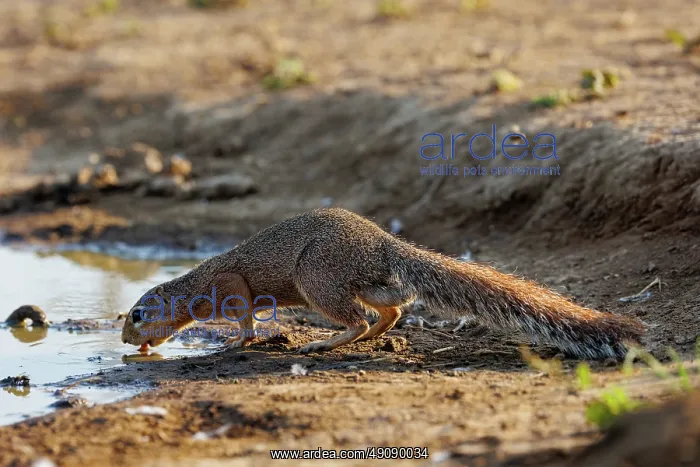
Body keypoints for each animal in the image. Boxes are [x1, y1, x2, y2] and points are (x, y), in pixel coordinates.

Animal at [121, 207, 646, 359]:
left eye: (136, 315)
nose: (126, 339)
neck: (197, 286)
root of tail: (384, 241)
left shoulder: (231, 283)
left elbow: (246, 315)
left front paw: (238, 341)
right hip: (360, 281)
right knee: (395, 305)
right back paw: (371, 335)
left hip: (317, 278)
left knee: (359, 316)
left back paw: (323, 343)